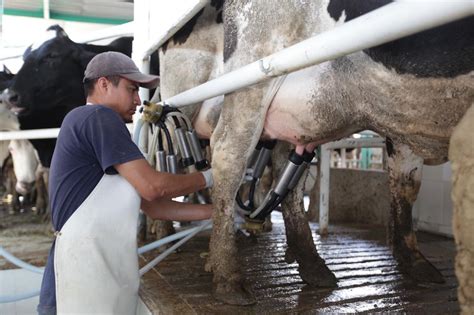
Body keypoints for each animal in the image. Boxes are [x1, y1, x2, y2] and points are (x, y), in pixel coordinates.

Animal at [204, 0, 474, 306]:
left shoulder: (401, 130)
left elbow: (406, 186)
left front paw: (413, 261)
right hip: (251, 77)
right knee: (229, 154)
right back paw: (228, 278)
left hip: (306, 115)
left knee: (287, 169)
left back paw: (313, 266)